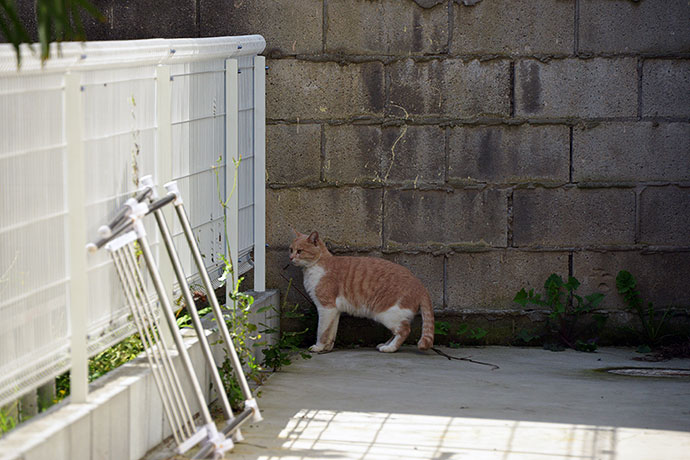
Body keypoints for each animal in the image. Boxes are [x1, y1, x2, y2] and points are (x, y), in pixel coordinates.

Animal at [288, 229, 432, 352]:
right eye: (291, 250)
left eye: (299, 251)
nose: (290, 257)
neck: (315, 267)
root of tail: (420, 285)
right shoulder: (334, 311)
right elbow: (331, 332)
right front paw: (327, 348)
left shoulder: (326, 307)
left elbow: (322, 331)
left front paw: (318, 347)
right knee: (396, 332)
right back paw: (385, 344)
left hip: (388, 314)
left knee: (404, 330)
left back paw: (390, 348)